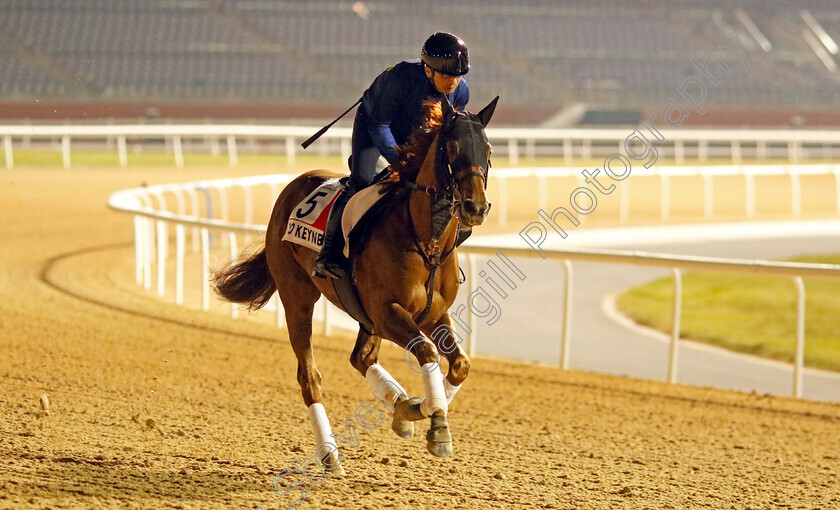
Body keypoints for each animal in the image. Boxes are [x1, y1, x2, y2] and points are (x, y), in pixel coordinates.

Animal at [213, 95, 498, 474]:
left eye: (488, 150)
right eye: (452, 147)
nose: (475, 207)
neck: (427, 242)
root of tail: (294, 185)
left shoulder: (433, 314)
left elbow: (460, 364)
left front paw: (418, 409)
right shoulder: (387, 312)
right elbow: (427, 352)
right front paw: (436, 421)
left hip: (363, 315)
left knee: (360, 358)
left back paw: (401, 407)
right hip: (297, 298)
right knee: (310, 377)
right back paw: (330, 455)